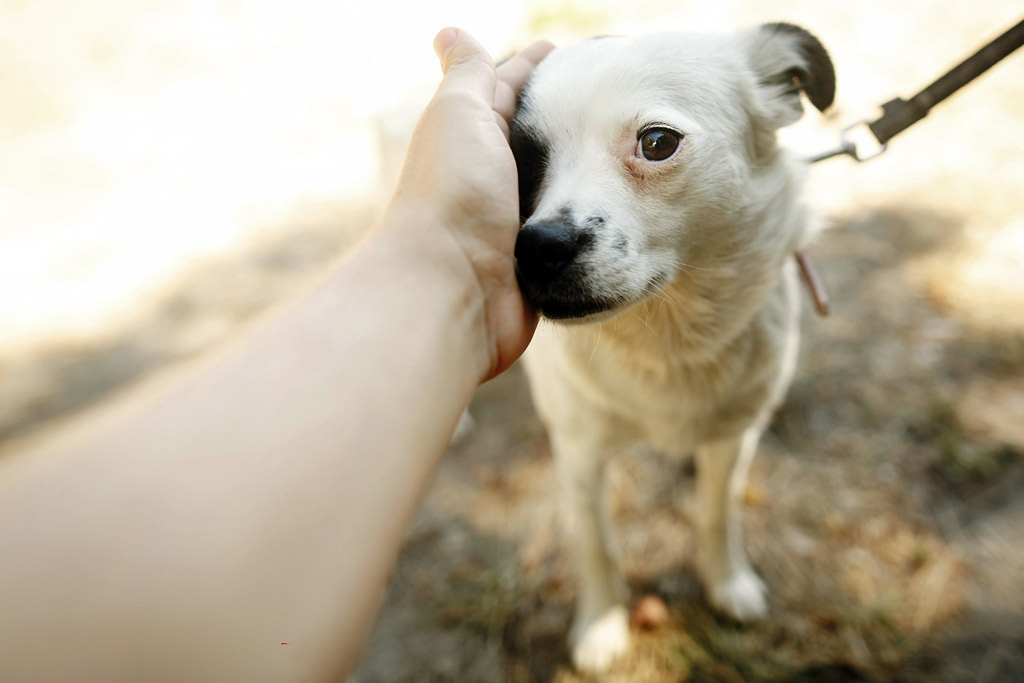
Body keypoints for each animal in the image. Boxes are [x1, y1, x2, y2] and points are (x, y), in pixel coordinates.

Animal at [507, 22, 835, 671]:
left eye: (657, 142)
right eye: (519, 158)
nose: (538, 248)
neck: (667, 339)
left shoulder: (734, 437)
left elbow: (716, 512)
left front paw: (727, 582)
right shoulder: (579, 452)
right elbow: (594, 541)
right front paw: (601, 624)